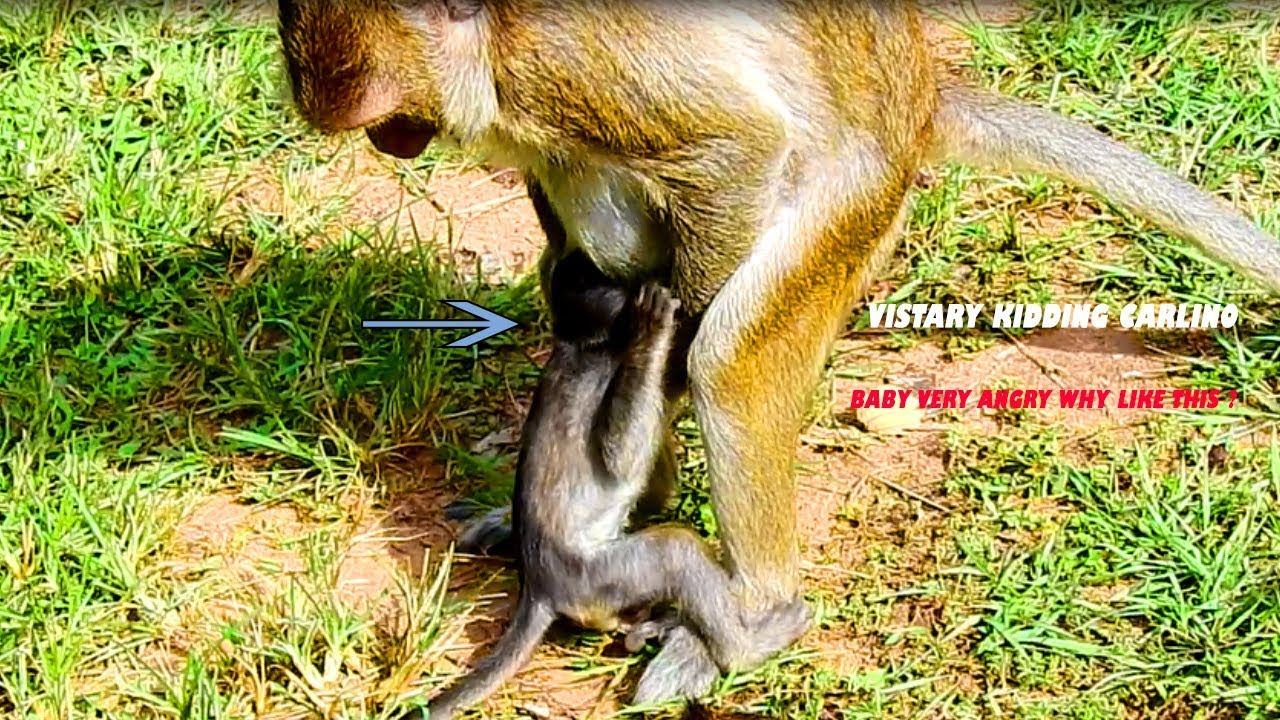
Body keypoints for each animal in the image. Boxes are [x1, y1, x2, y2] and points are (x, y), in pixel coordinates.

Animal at [413, 250, 809, 720]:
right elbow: (620, 458)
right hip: (601, 575)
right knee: (675, 551)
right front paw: (651, 332)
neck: (580, 343)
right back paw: (745, 649)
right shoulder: (604, 373)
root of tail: (540, 588)